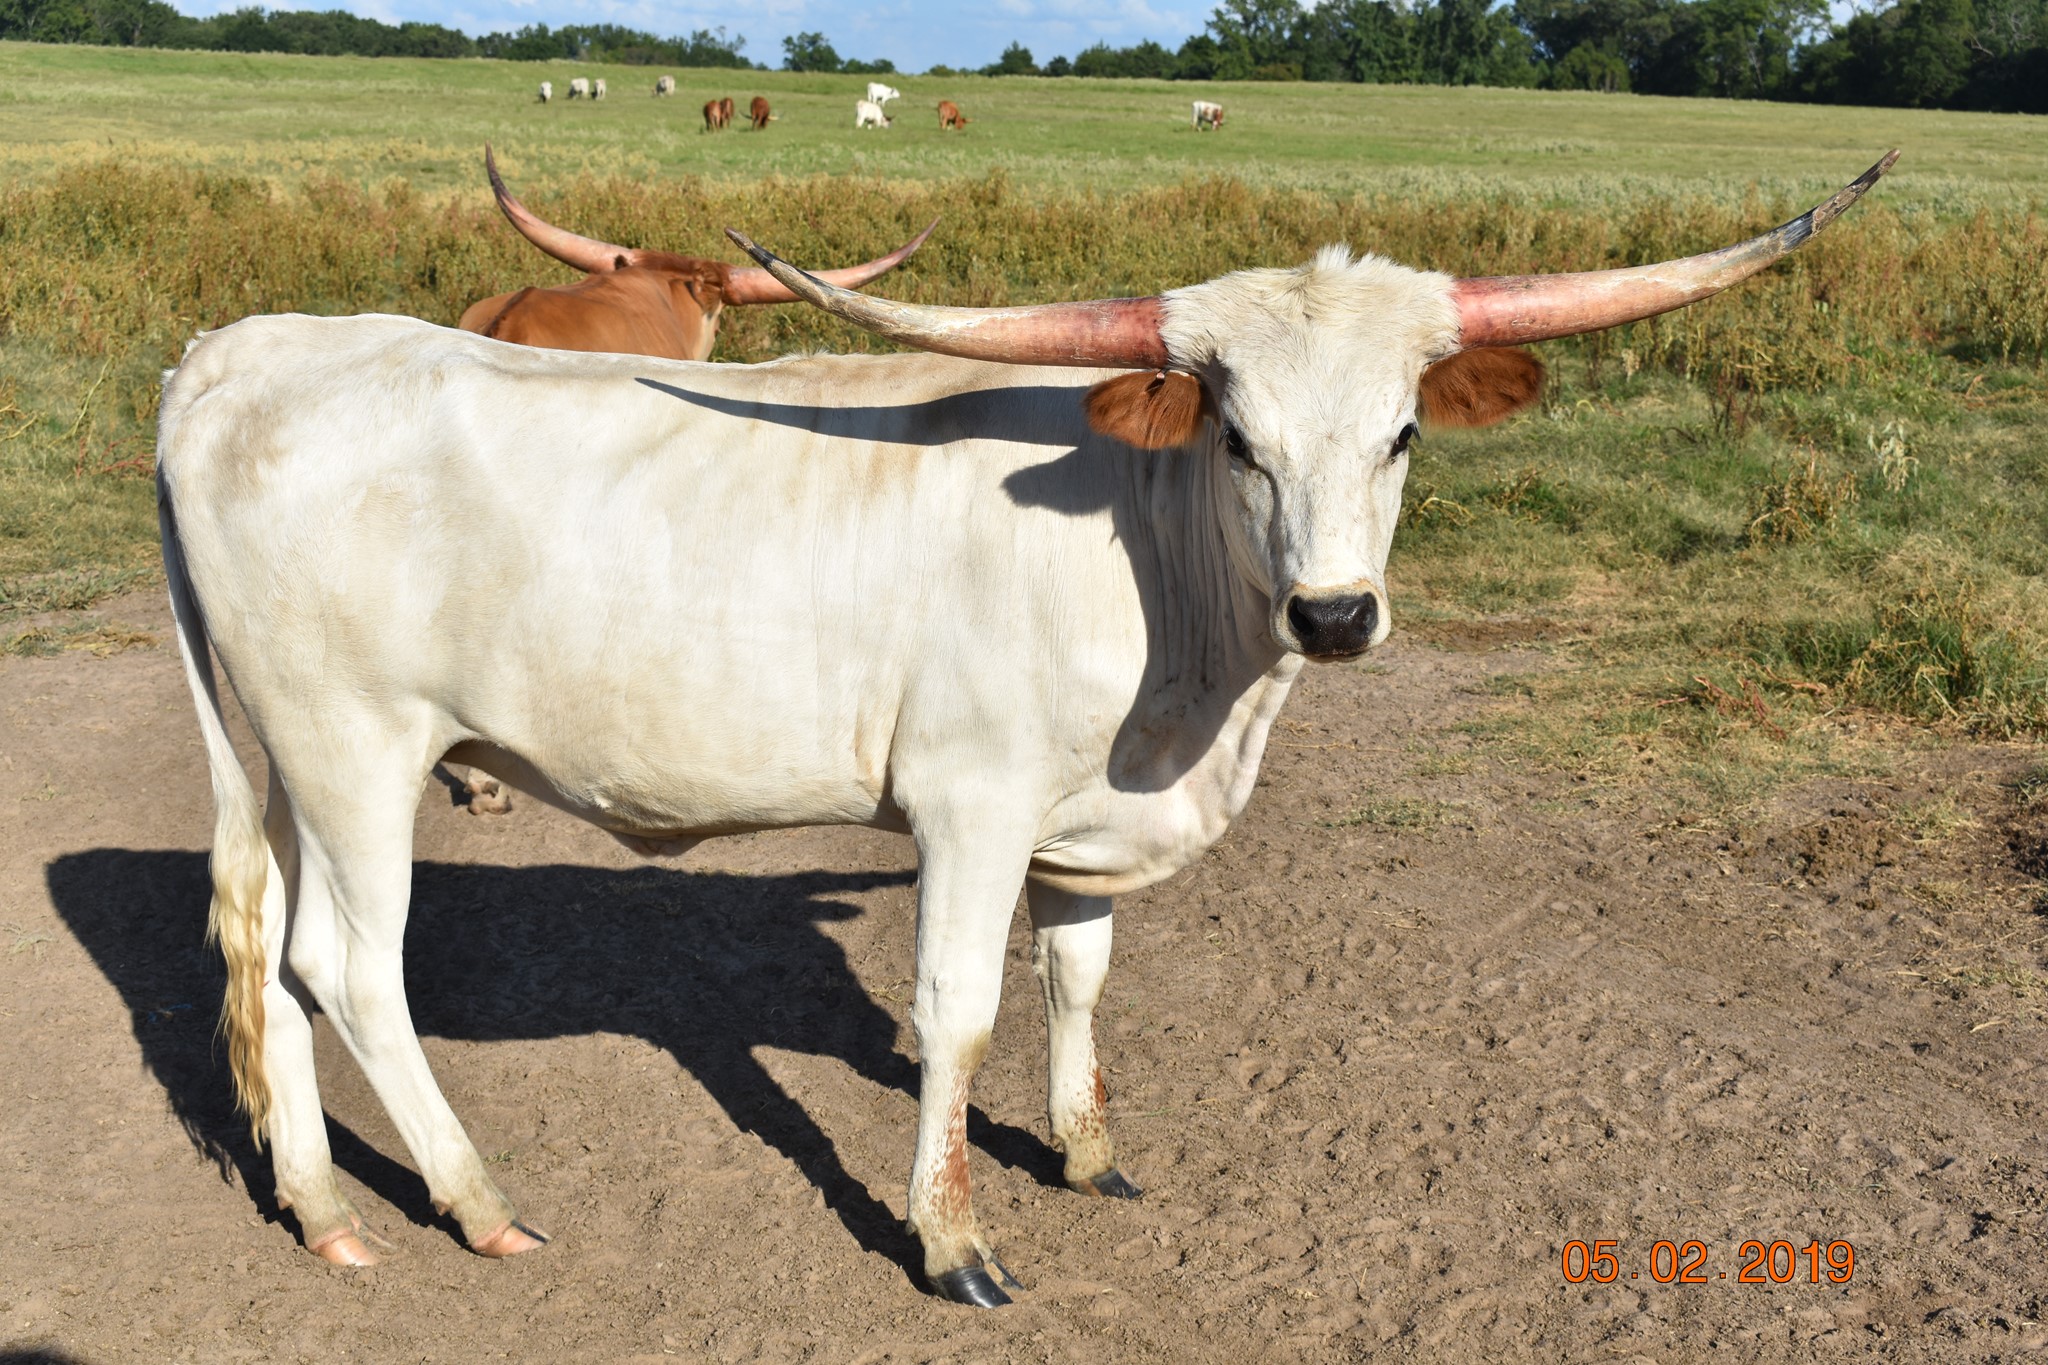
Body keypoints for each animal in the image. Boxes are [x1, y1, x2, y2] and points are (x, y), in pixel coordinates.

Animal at [157, 153, 1893, 1300]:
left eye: (1403, 431)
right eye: (1239, 438)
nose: (1336, 615)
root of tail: (241, 351)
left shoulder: (1078, 827)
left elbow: (1080, 982)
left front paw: (1084, 1149)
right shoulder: (971, 808)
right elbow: (960, 1009)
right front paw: (951, 1235)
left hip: (294, 761)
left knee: (276, 954)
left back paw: (324, 1207)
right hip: (357, 747)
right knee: (351, 969)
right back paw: (475, 1198)